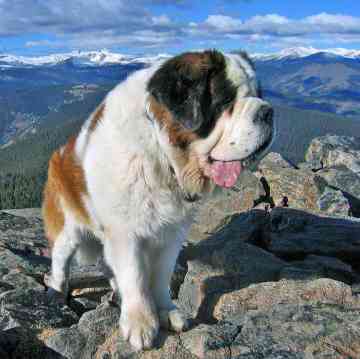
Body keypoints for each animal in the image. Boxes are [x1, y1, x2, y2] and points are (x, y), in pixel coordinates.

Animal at [42, 50, 272, 352]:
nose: (268, 111)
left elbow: (161, 273)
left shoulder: (171, 233)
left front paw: (165, 311)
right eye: (226, 101)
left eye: (259, 94)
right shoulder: (124, 232)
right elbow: (135, 274)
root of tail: (58, 153)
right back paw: (57, 292)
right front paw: (140, 322)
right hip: (67, 229)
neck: (163, 156)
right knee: (60, 262)